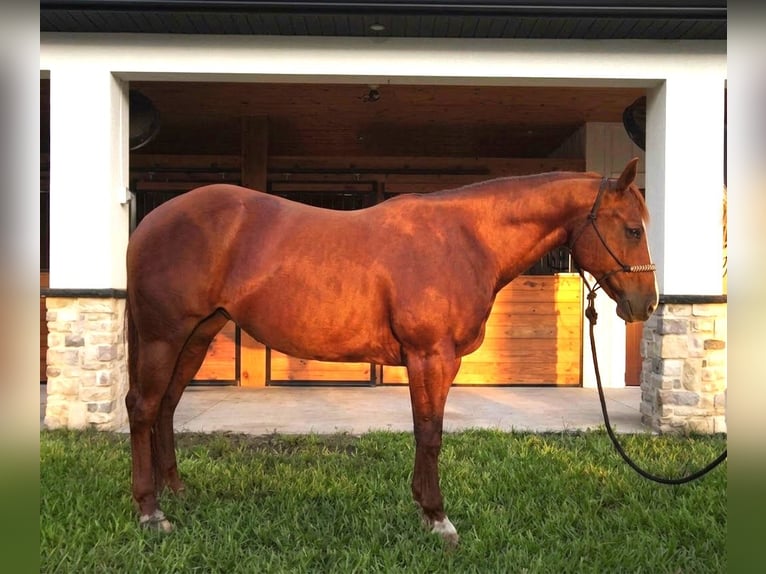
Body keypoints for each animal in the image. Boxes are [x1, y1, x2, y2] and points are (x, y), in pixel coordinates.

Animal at [125, 157, 657, 545]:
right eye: (633, 229)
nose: (646, 304)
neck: (464, 239)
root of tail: (151, 221)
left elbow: (425, 432)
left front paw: (423, 506)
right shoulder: (431, 356)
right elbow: (430, 433)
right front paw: (438, 518)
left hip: (197, 334)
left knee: (167, 406)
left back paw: (177, 490)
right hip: (163, 335)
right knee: (144, 406)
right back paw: (151, 511)